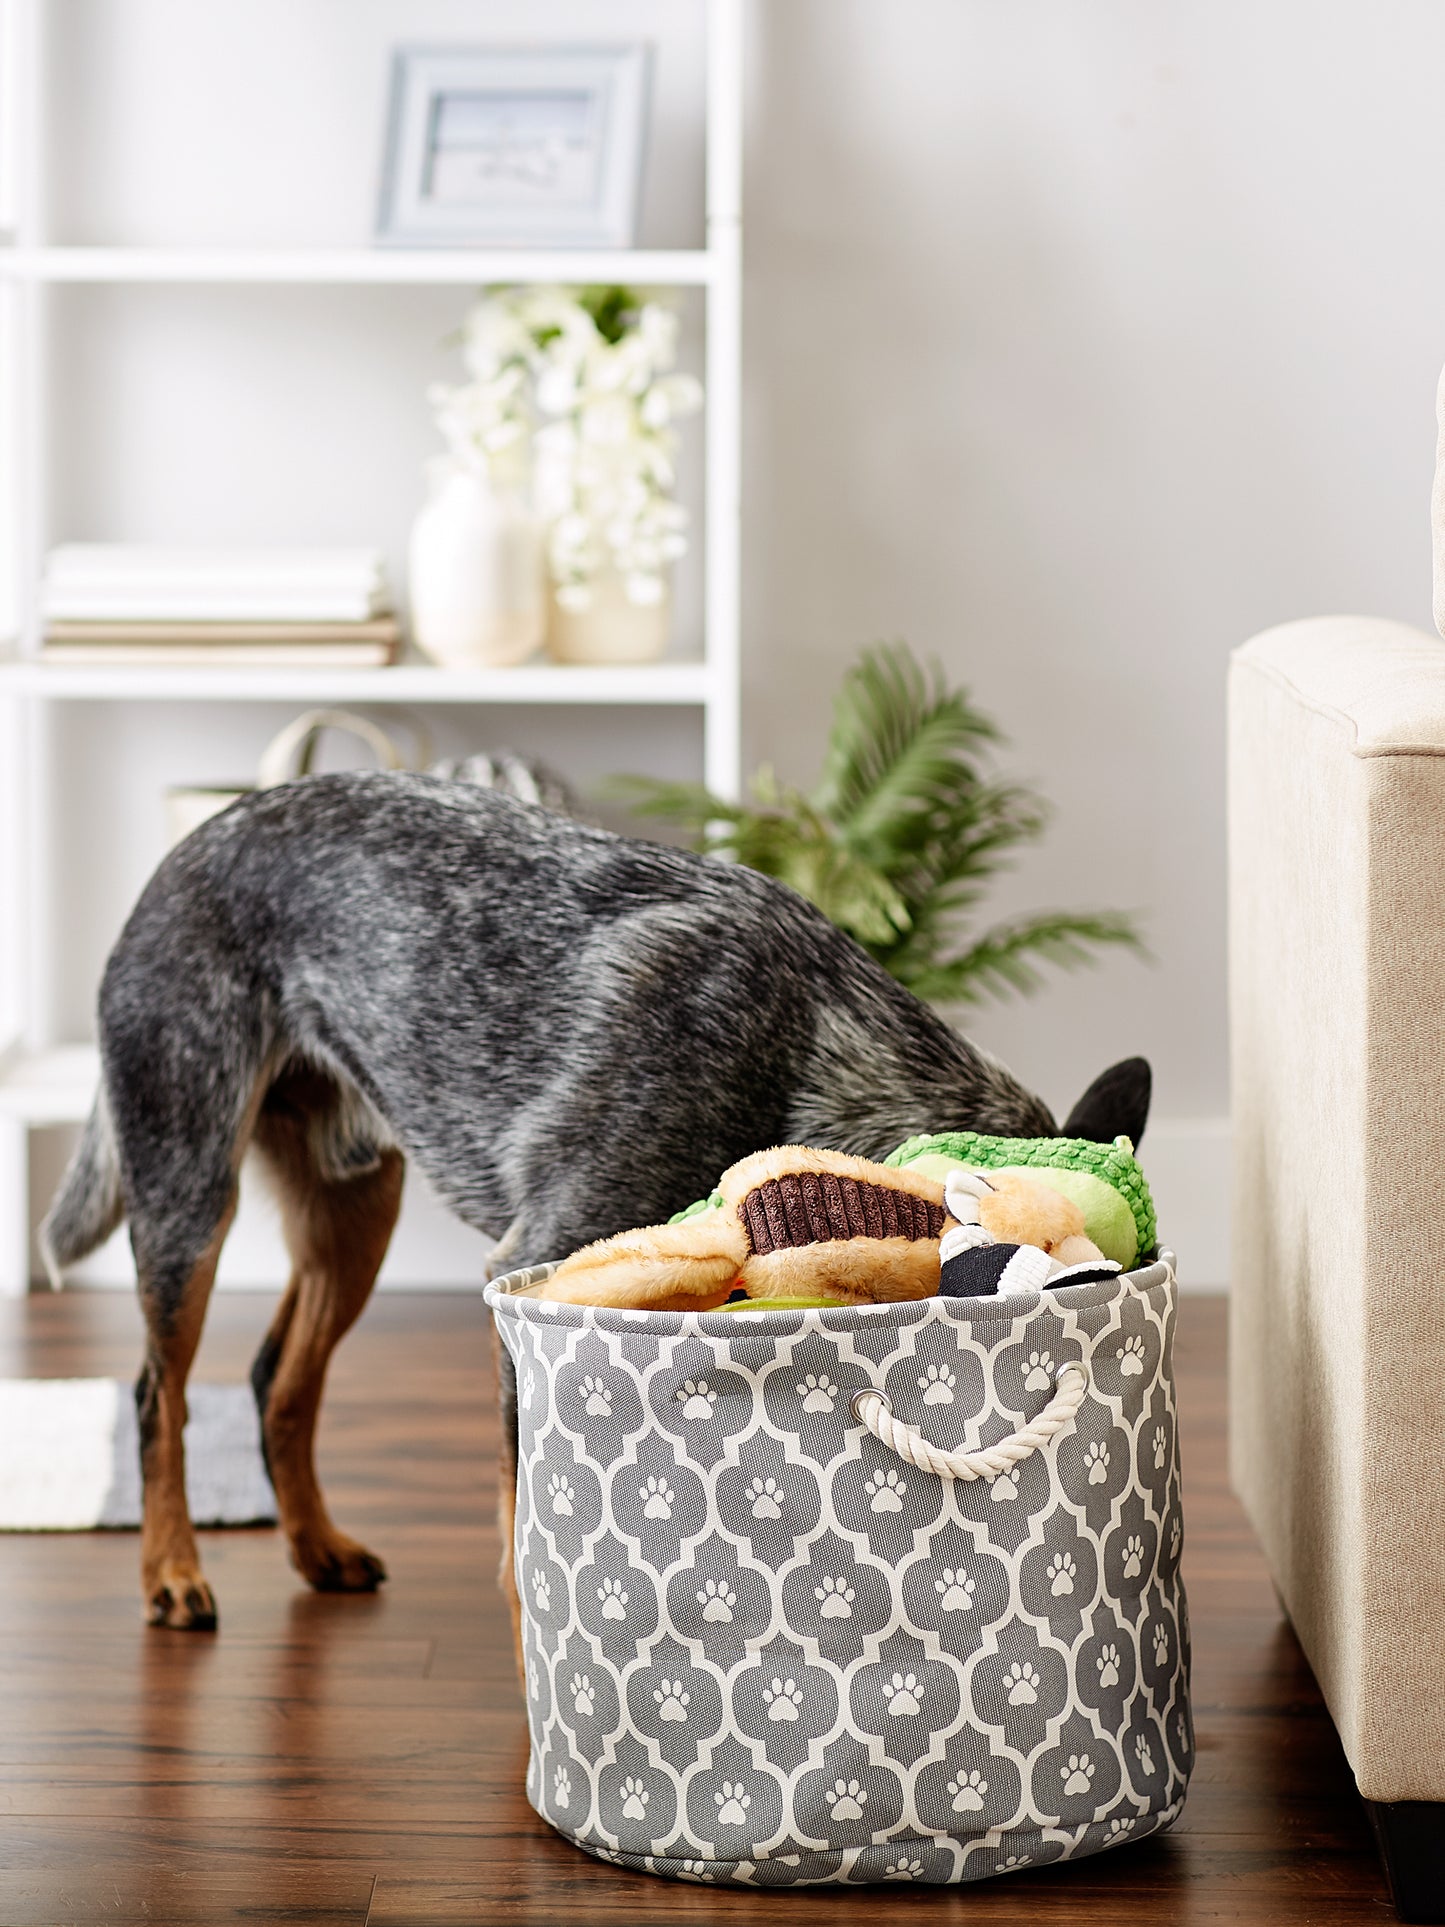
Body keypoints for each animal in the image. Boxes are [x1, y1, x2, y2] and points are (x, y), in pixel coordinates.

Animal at [42, 766, 1156, 1626]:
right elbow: (521, 1530)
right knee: (158, 1391)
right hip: (188, 1189)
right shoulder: (528, 1278)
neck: (817, 1055)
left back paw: (317, 1546)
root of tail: (188, 844)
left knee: (278, 1375)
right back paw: (172, 1573)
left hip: (354, 1209)